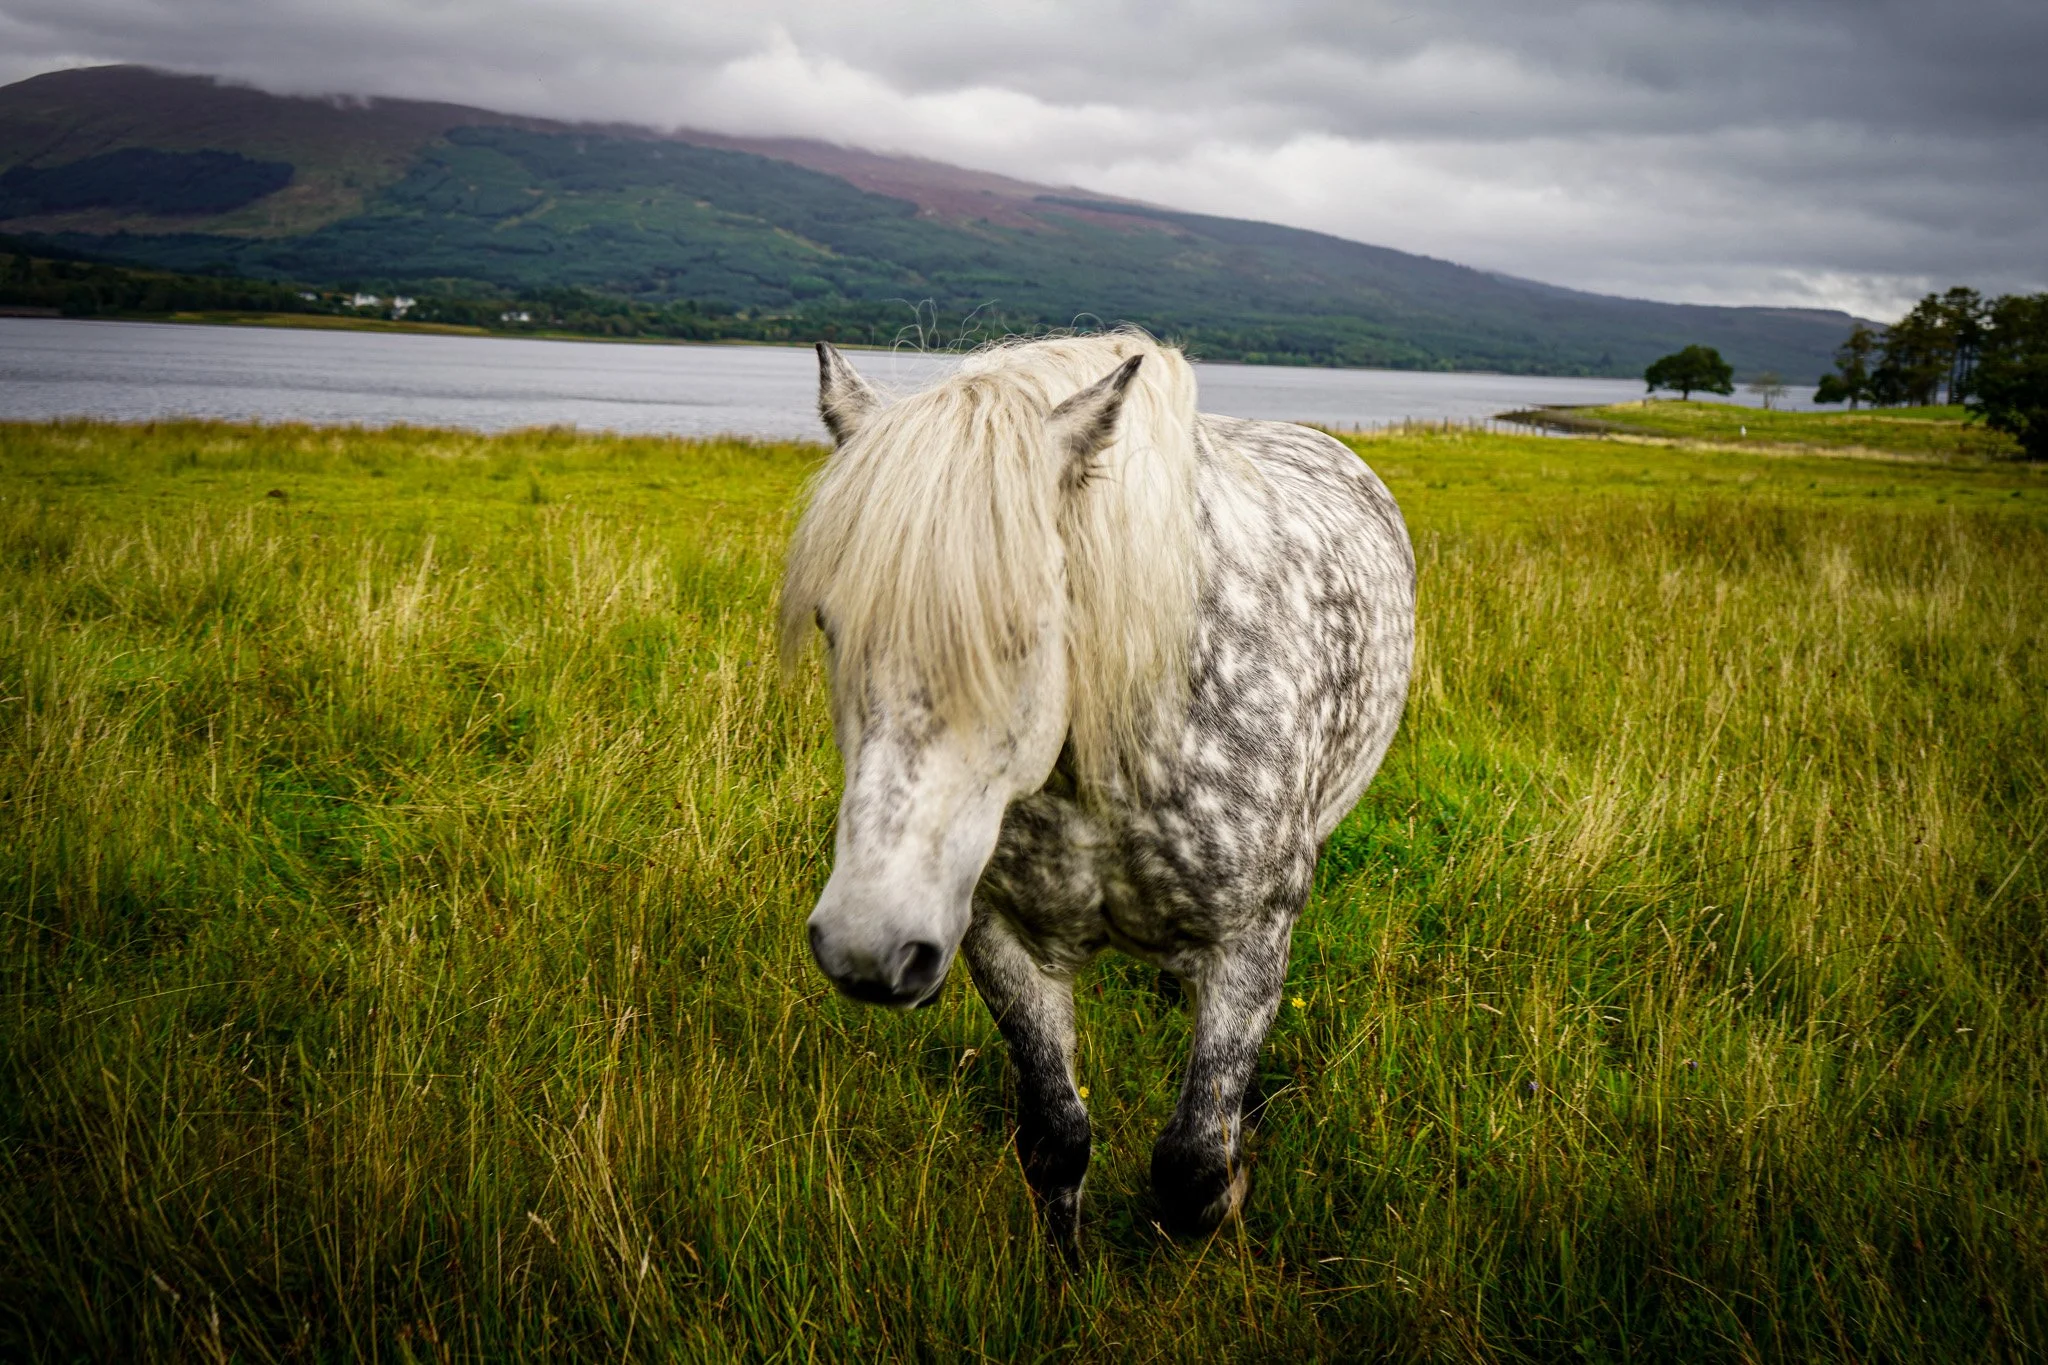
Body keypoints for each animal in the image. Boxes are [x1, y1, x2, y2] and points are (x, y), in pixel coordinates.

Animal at [780, 330, 1414, 1251]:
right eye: (832, 623)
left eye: (1025, 628)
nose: (866, 945)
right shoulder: (998, 935)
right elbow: (1057, 1135)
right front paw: (1063, 1272)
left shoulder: (1250, 941)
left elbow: (1193, 1161)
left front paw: (1216, 1211)